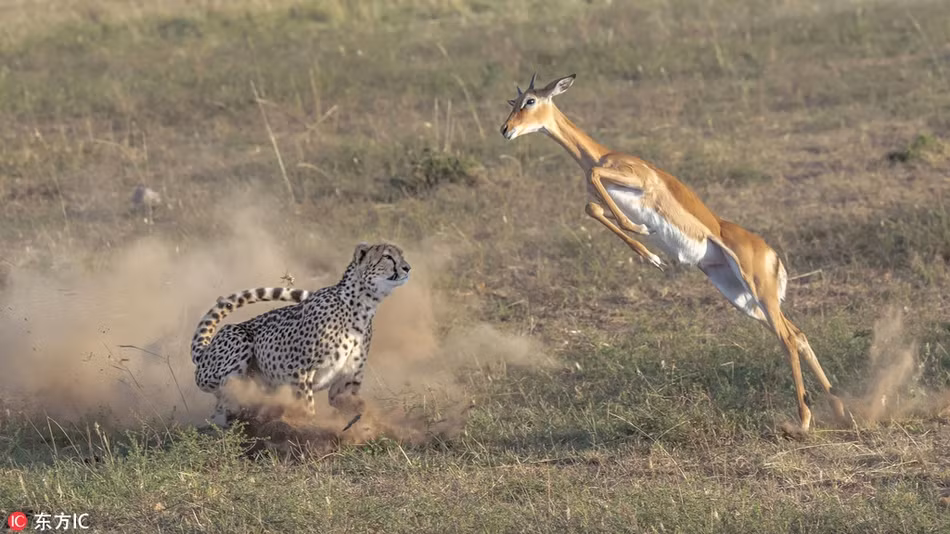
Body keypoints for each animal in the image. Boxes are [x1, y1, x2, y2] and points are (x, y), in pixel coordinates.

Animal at [500, 73, 847, 432]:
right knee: (798, 335)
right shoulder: (600, 199)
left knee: (788, 339)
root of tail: (772, 256)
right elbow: (592, 207)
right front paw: (650, 254)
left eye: (530, 101)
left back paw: (804, 421)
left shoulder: (635, 182)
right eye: (513, 102)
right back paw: (840, 412)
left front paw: (641, 233)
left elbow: (599, 185)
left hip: (759, 292)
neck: (600, 154)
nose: (506, 129)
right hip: (742, 299)